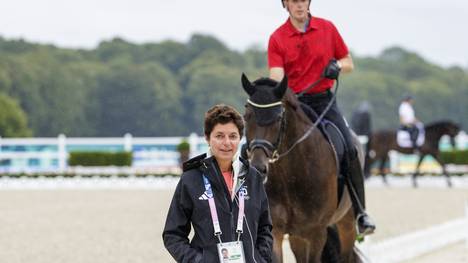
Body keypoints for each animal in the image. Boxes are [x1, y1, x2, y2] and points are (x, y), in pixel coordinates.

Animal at [241, 75, 362, 263]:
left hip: (347, 224)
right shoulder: (276, 230)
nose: (258, 168)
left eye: (278, 118)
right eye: (246, 116)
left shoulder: (316, 233)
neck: (291, 175)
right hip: (297, 236)